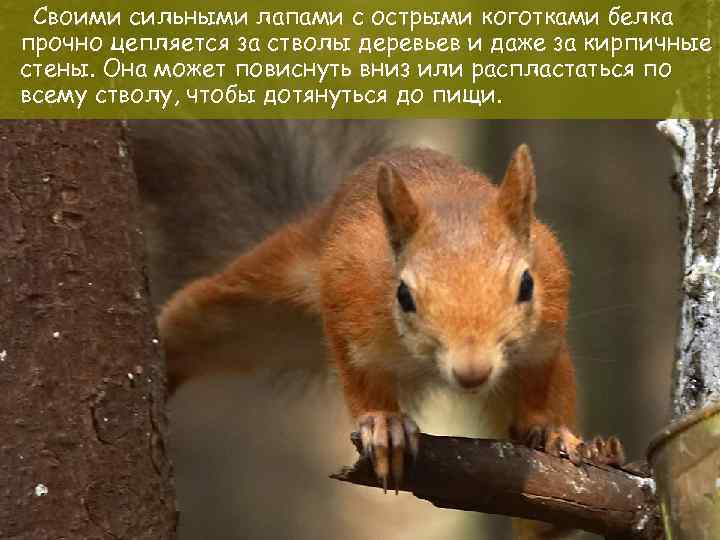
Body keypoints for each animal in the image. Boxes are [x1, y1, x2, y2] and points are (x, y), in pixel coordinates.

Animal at [131, 120, 625, 540]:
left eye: (526, 285)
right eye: (403, 295)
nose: (472, 372)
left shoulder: (548, 330)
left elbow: (541, 384)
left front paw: (552, 431)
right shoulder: (349, 303)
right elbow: (359, 374)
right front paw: (384, 427)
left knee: (541, 526)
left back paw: (592, 456)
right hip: (259, 296)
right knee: (194, 317)